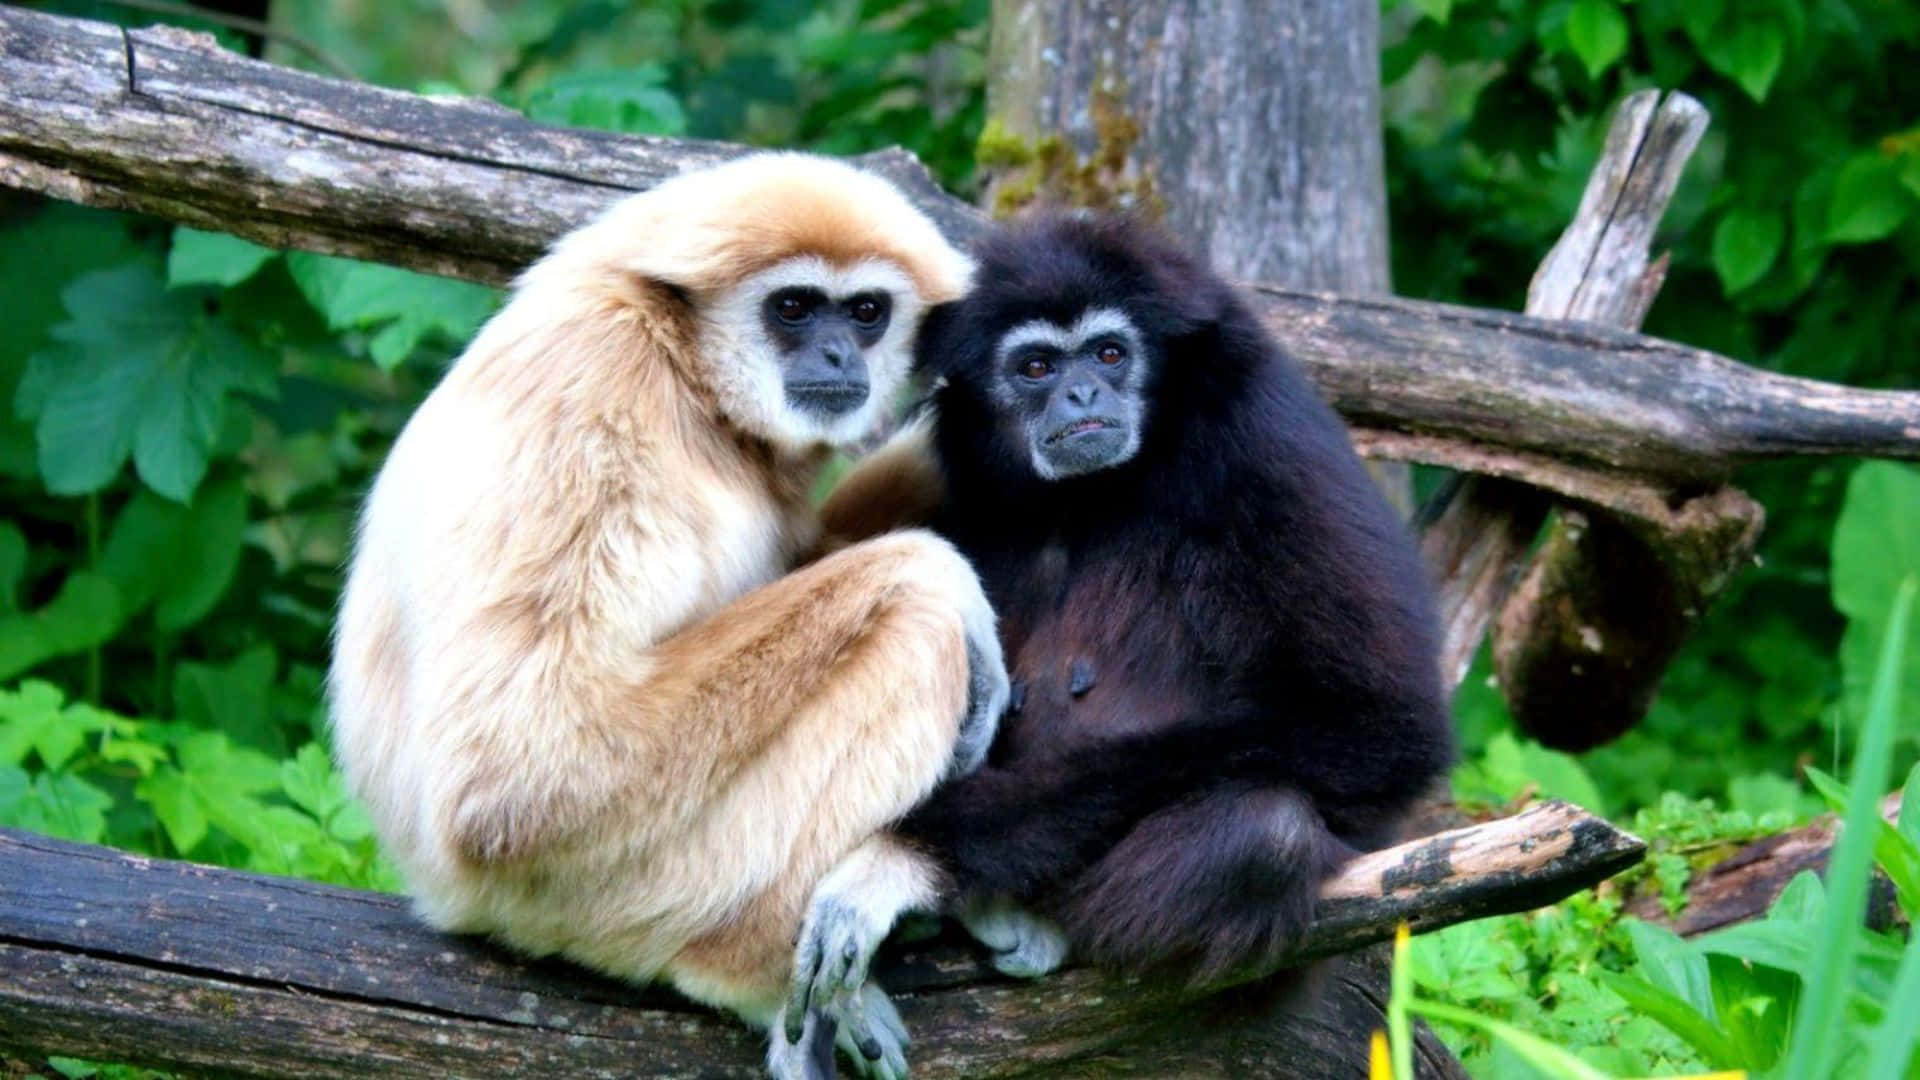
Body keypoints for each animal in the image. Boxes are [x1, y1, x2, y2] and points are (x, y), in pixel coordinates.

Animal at [327, 152, 1009, 1080]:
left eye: (867, 312)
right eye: (794, 307)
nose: (839, 350)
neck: (685, 369)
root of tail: (440, 898)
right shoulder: (593, 400)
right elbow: (519, 773)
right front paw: (940, 569)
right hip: (609, 889)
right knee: (916, 631)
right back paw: (755, 974)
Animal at [804, 212, 1455, 1001]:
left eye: (1110, 354)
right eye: (1037, 368)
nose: (1083, 394)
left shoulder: (1265, 435)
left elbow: (1376, 723)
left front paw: (906, 855)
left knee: (1268, 832)